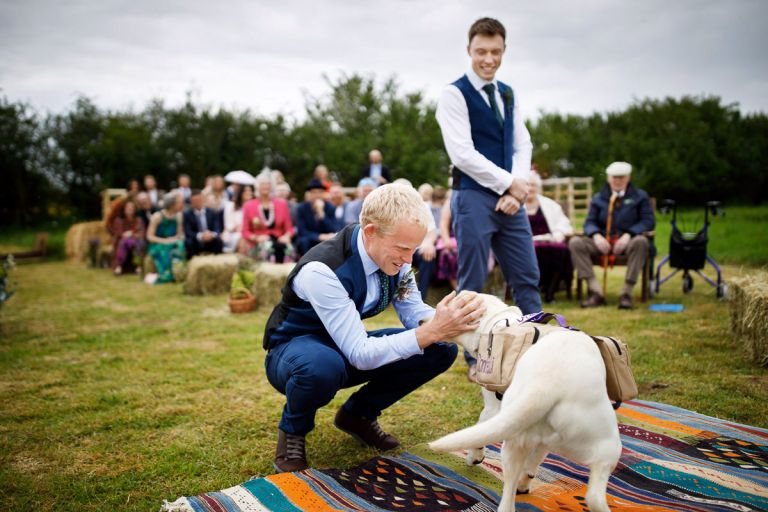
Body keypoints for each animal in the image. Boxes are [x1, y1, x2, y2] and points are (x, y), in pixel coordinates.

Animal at [428, 292, 620, 512]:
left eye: (443, 310)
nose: (421, 321)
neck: (499, 323)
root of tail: (547, 384)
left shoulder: (492, 409)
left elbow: (479, 431)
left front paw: (474, 456)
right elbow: (534, 460)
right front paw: (526, 481)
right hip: (605, 449)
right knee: (594, 496)